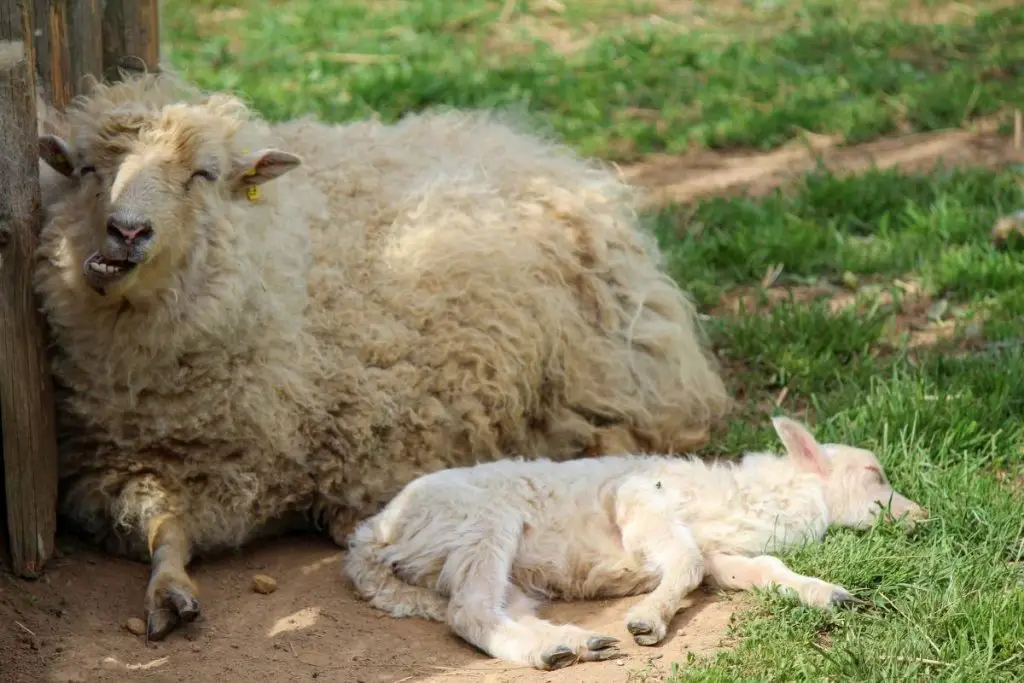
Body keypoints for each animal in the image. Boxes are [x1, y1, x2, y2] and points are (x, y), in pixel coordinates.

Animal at [34, 70, 729, 643]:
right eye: (86, 170)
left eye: (202, 174)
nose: (125, 232)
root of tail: (534, 150)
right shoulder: (119, 468)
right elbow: (162, 528)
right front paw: (169, 590)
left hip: (608, 374)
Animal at [346, 413, 929, 671]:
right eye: (874, 474)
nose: (922, 519)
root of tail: (367, 537)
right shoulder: (637, 498)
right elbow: (686, 562)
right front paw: (648, 620)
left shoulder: (723, 552)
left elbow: (759, 568)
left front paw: (828, 594)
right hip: (482, 524)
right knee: (469, 613)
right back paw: (556, 649)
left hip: (500, 569)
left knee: (494, 610)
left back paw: (571, 644)